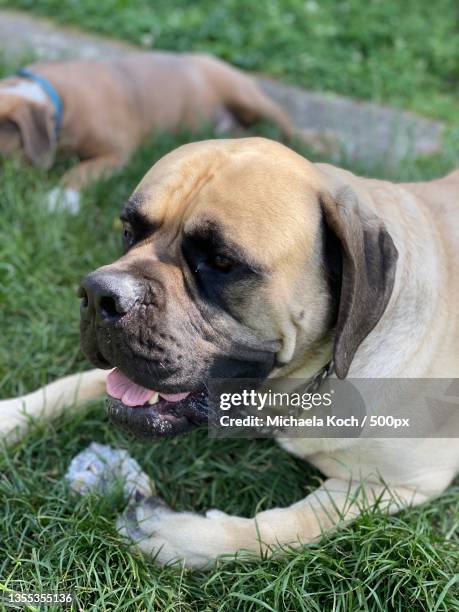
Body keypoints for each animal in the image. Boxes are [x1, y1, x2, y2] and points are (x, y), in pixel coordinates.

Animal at [0, 139, 459, 568]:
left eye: (222, 262)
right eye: (128, 231)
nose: (99, 295)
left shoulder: (394, 483)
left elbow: (281, 528)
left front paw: (170, 532)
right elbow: (80, 383)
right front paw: (11, 415)